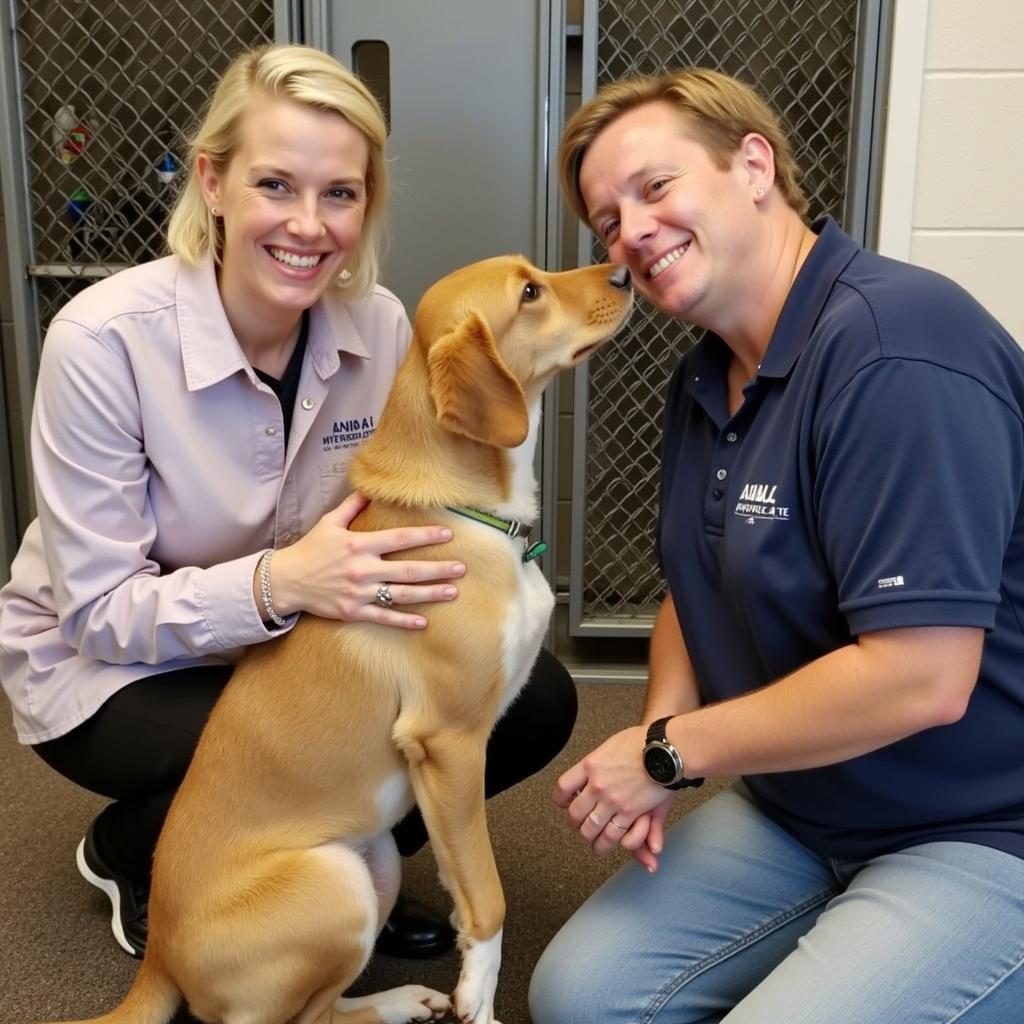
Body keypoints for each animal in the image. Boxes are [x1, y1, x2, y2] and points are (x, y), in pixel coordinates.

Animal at [54, 258, 630, 1024]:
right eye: (530, 292)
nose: (625, 272)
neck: (469, 513)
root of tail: (161, 959)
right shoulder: (450, 743)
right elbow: (487, 900)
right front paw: (478, 1003)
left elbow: (465, 888)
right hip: (338, 883)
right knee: (298, 1019)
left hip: (374, 855)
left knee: (325, 1010)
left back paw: (402, 999)